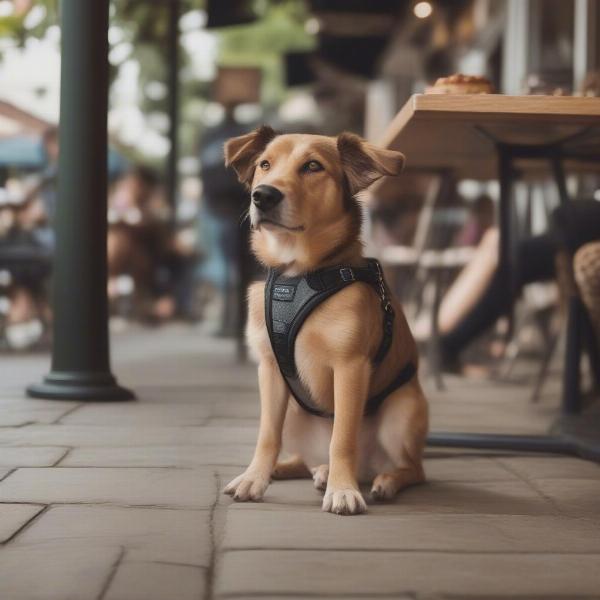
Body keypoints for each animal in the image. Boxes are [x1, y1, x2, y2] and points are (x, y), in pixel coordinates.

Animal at [221, 126, 426, 516]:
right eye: (264, 164)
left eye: (313, 166)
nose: (263, 195)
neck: (299, 274)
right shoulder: (270, 369)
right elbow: (266, 435)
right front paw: (254, 478)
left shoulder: (350, 367)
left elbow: (342, 437)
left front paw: (342, 490)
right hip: (294, 415)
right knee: (305, 458)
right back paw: (299, 469)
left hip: (402, 413)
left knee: (414, 469)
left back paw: (382, 481)